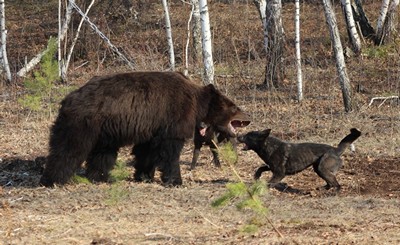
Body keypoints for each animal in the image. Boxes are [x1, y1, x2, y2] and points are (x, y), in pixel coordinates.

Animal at [39, 72, 248, 187]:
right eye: (234, 107)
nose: (248, 118)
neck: (197, 104)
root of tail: (68, 99)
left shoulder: (152, 125)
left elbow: (146, 150)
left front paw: (145, 175)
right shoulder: (173, 115)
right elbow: (170, 150)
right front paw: (175, 180)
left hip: (104, 130)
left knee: (102, 153)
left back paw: (101, 177)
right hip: (83, 123)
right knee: (69, 148)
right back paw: (53, 179)